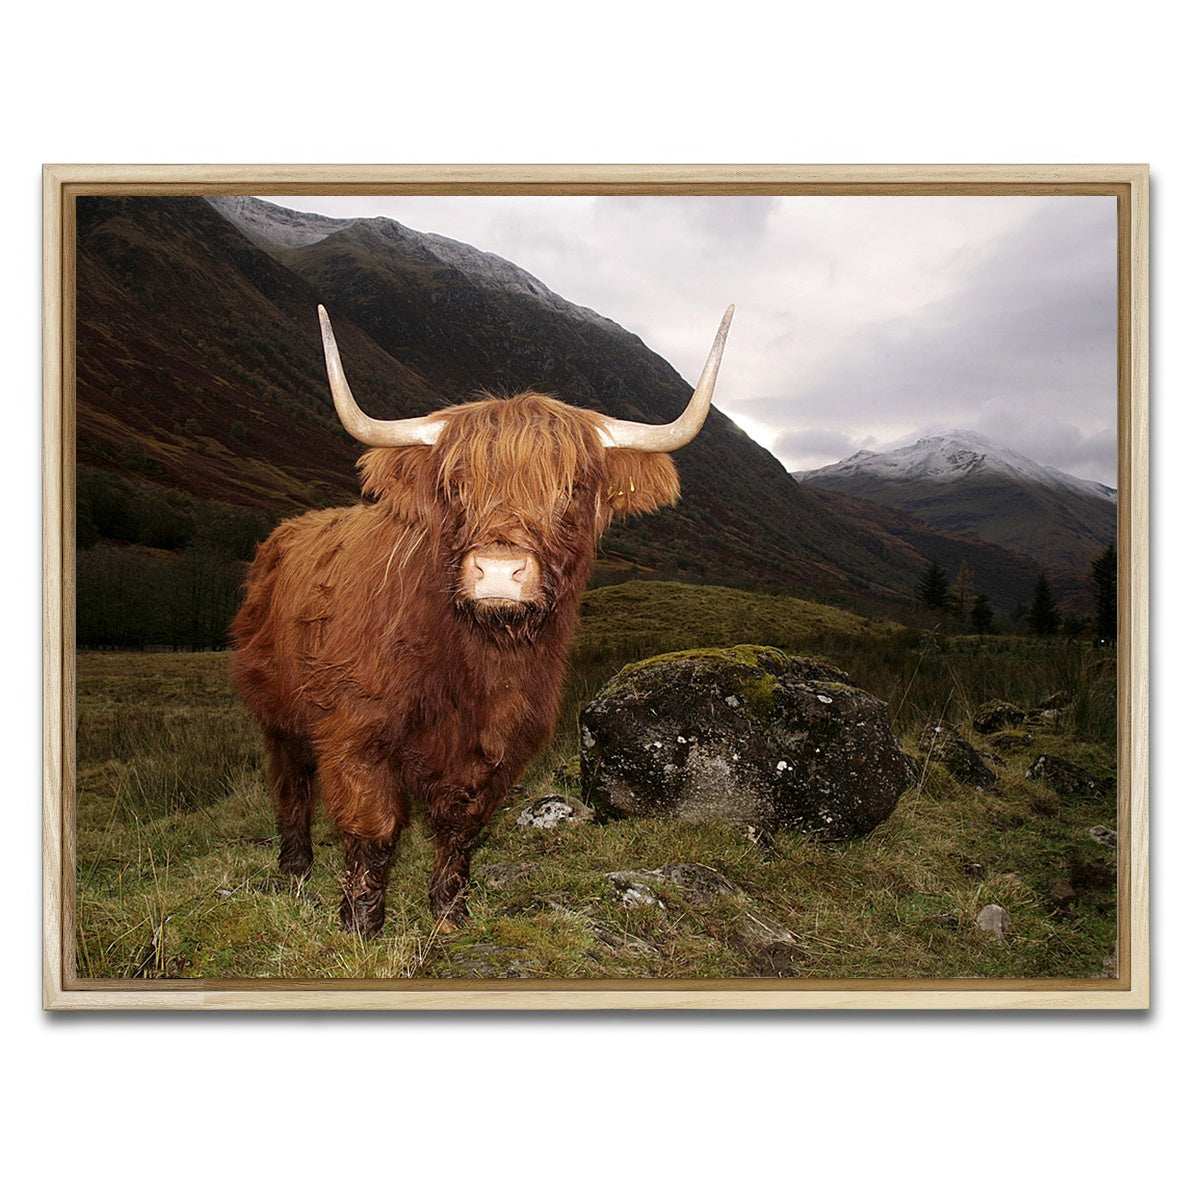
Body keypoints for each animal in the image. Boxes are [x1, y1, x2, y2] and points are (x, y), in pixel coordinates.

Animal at [231, 303, 733, 936]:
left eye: (571, 488)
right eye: (455, 484)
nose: (497, 571)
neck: (478, 662)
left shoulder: (503, 743)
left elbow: (462, 826)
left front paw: (449, 913)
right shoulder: (356, 728)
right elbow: (373, 828)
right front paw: (360, 924)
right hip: (277, 709)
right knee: (291, 784)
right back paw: (295, 867)